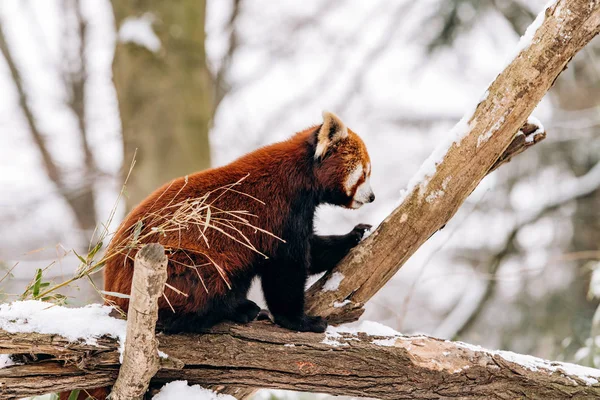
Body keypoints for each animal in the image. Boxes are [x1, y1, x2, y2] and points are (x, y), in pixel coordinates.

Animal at [104, 111, 376, 332]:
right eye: (364, 174)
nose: (372, 197)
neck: (301, 176)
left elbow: (311, 252)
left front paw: (354, 235)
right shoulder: (279, 213)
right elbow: (286, 269)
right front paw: (299, 321)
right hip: (173, 265)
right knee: (204, 277)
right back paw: (232, 310)